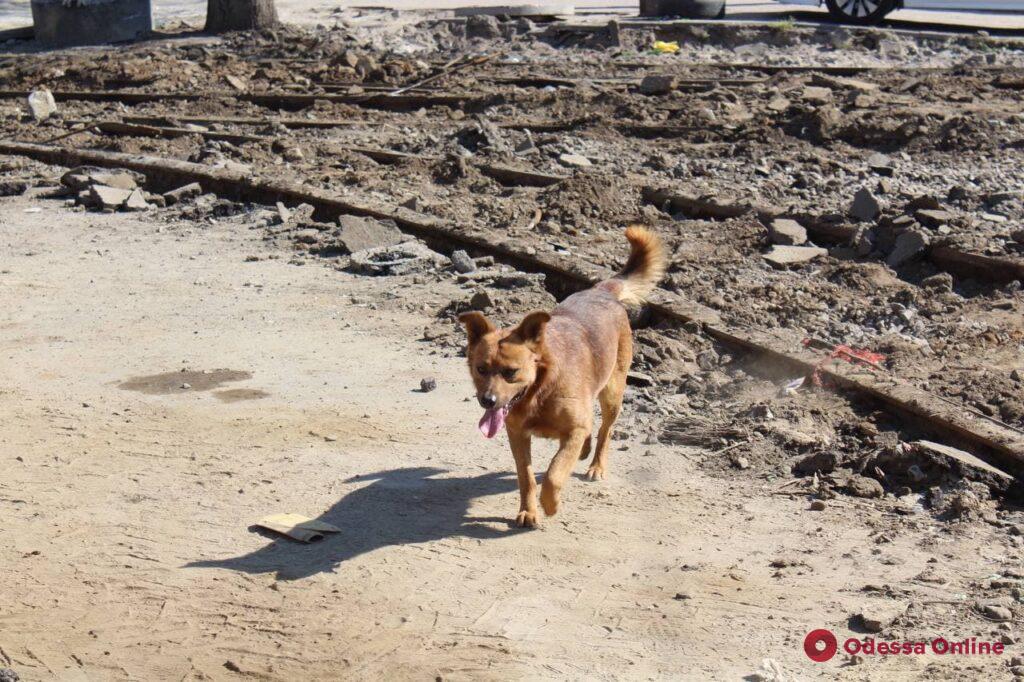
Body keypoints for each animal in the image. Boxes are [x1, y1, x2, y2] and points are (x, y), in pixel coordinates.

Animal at [460, 224, 667, 524]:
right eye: (481, 369)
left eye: (511, 372)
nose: (487, 401)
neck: (540, 390)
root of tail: (601, 291)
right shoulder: (517, 434)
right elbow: (526, 477)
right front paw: (528, 511)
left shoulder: (572, 430)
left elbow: (554, 473)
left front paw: (551, 504)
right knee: (590, 430)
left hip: (612, 393)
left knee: (604, 430)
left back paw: (596, 465)